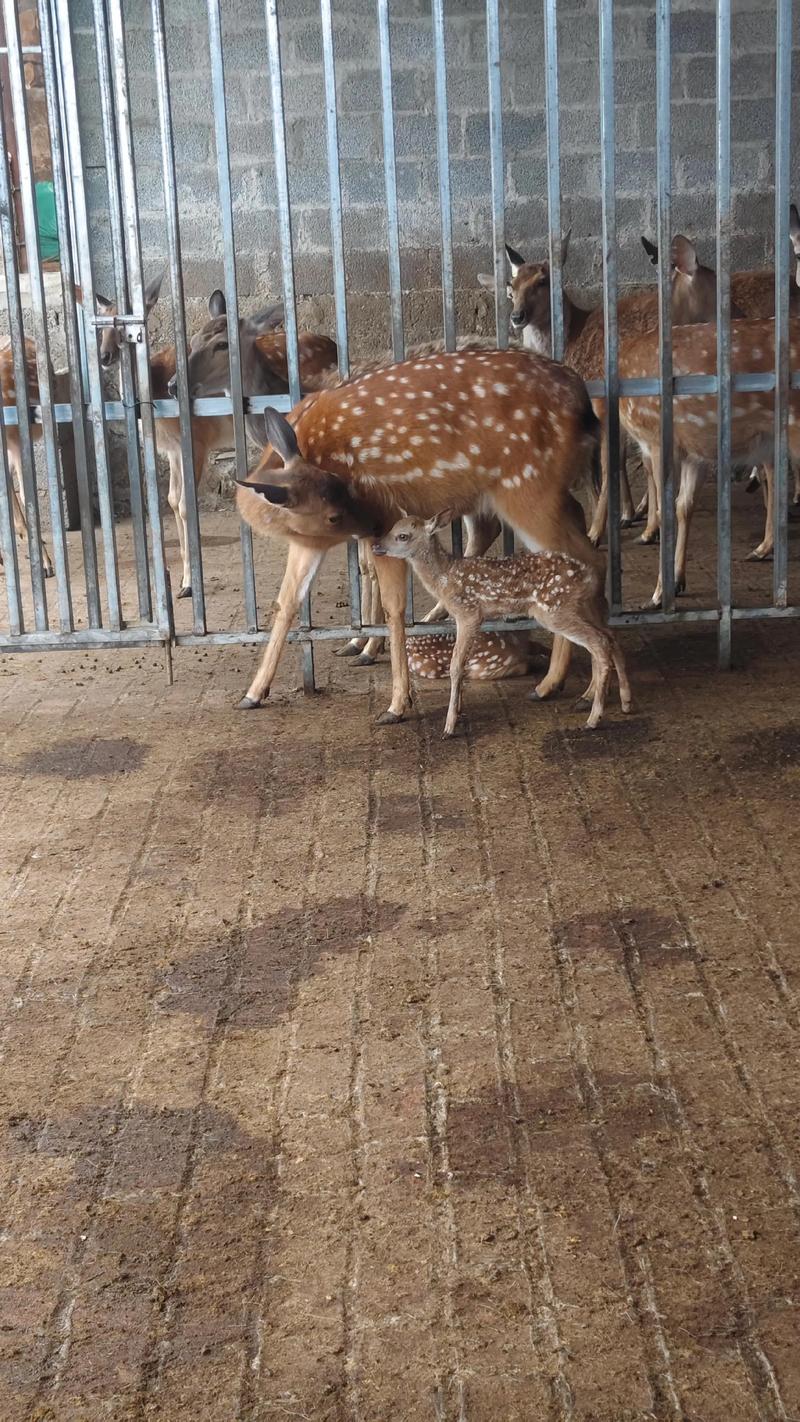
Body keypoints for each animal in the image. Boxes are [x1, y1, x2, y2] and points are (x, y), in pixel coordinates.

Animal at [92, 280, 337, 598]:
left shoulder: (196, 440)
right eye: (100, 323)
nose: (105, 356)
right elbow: (171, 500)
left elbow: (186, 504)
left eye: (128, 318)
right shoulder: (171, 450)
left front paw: (188, 583)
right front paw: (182, 582)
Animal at [232, 344, 603, 725]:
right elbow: (287, 601)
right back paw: (569, 686)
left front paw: (397, 703)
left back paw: (563, 687)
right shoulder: (310, 541)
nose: (371, 524)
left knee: (585, 561)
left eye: (345, 486)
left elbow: (395, 607)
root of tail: (584, 402)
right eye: (333, 513)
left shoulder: (388, 514)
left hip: (529, 488)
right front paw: (253, 693)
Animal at [373, 512, 631, 735]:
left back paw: (593, 719)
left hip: (554, 610)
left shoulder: (468, 613)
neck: (445, 578)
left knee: (599, 642)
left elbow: (456, 666)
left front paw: (449, 725)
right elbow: (462, 664)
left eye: (402, 535)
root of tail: (588, 574)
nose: (376, 546)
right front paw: (458, 711)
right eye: (392, 527)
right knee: (610, 636)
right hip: (578, 607)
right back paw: (625, 701)